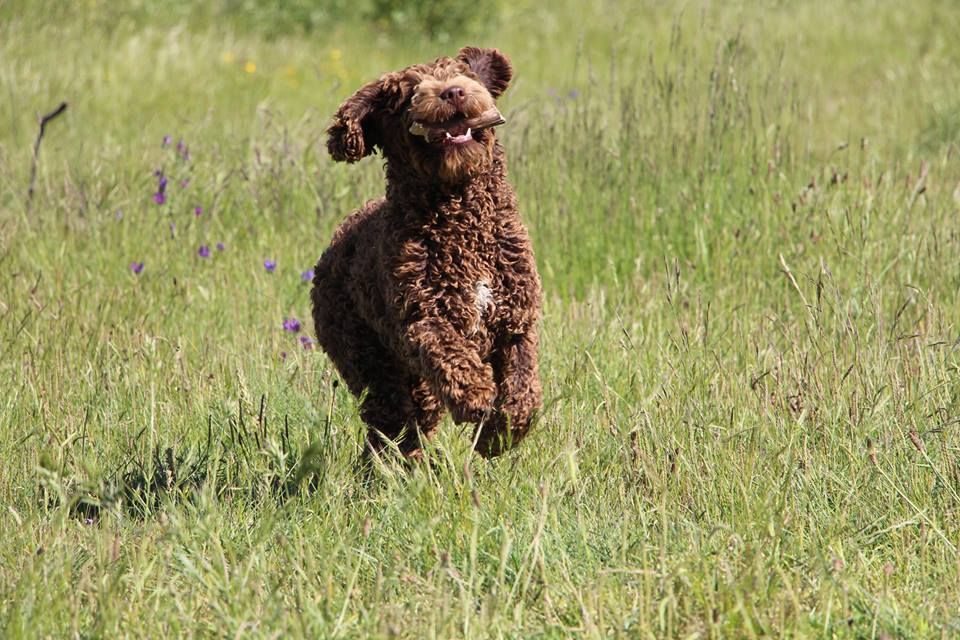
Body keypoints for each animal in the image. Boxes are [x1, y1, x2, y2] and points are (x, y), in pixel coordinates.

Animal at [314, 47, 544, 458]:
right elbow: (450, 353)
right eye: (407, 94)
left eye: (464, 74)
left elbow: (524, 389)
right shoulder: (421, 318)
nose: (452, 92)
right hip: (368, 358)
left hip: (415, 385)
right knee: (391, 425)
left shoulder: (517, 319)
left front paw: (499, 434)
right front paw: (477, 396)